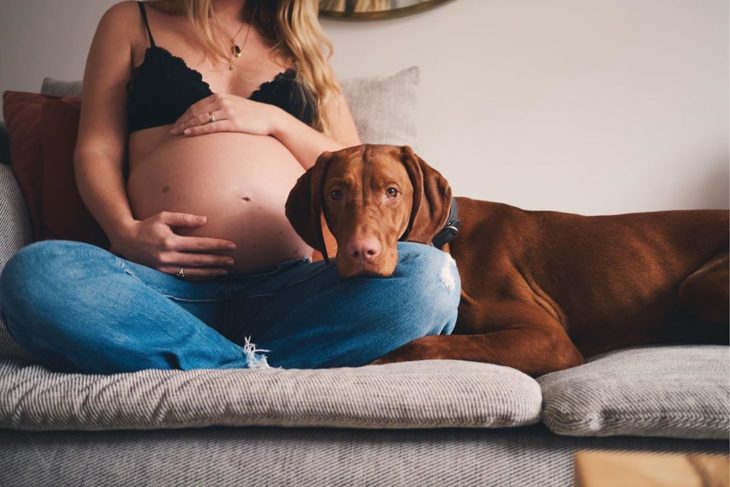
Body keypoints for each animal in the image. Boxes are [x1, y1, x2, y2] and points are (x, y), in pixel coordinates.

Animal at [286, 143, 728, 376]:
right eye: (335, 193)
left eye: (392, 191)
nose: (361, 252)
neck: (446, 242)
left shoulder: (550, 339)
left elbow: (427, 344)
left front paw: (382, 357)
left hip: (698, 285)